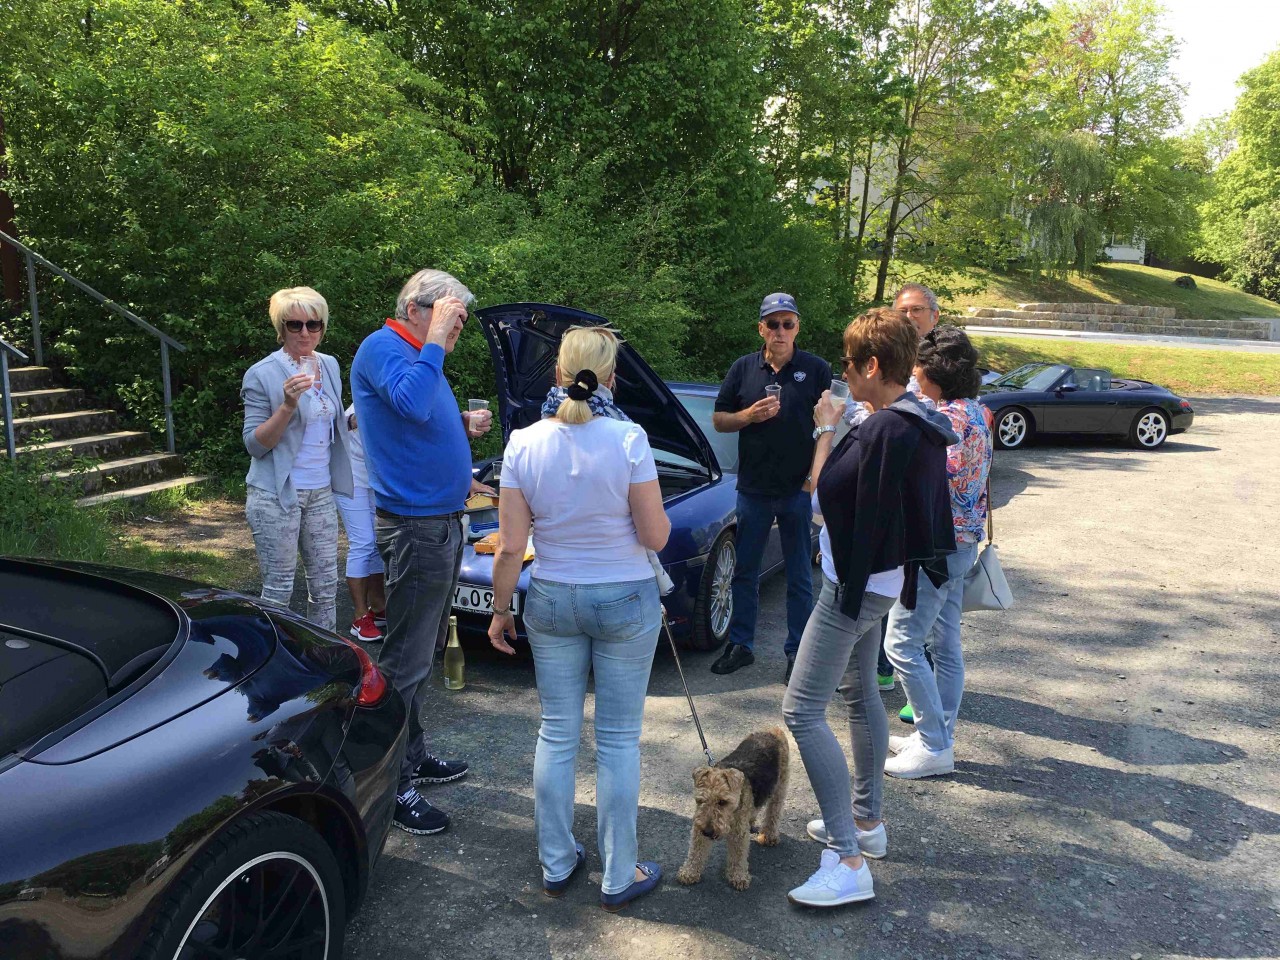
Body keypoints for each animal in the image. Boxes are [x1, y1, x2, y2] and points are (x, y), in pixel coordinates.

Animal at [676, 726, 790, 890]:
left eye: (722, 802)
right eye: (700, 800)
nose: (708, 831)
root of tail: (774, 729)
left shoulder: (738, 832)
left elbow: (738, 855)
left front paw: (738, 877)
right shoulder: (699, 828)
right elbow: (695, 851)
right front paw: (689, 872)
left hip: (780, 785)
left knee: (774, 811)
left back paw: (769, 836)